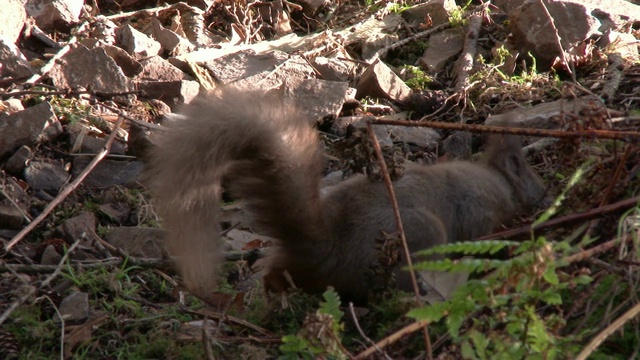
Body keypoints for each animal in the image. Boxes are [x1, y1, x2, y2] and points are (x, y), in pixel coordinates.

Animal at [146, 88, 552, 302]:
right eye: (533, 177)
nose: (549, 197)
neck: (499, 182)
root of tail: (324, 250)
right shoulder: (476, 209)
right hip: (421, 234)